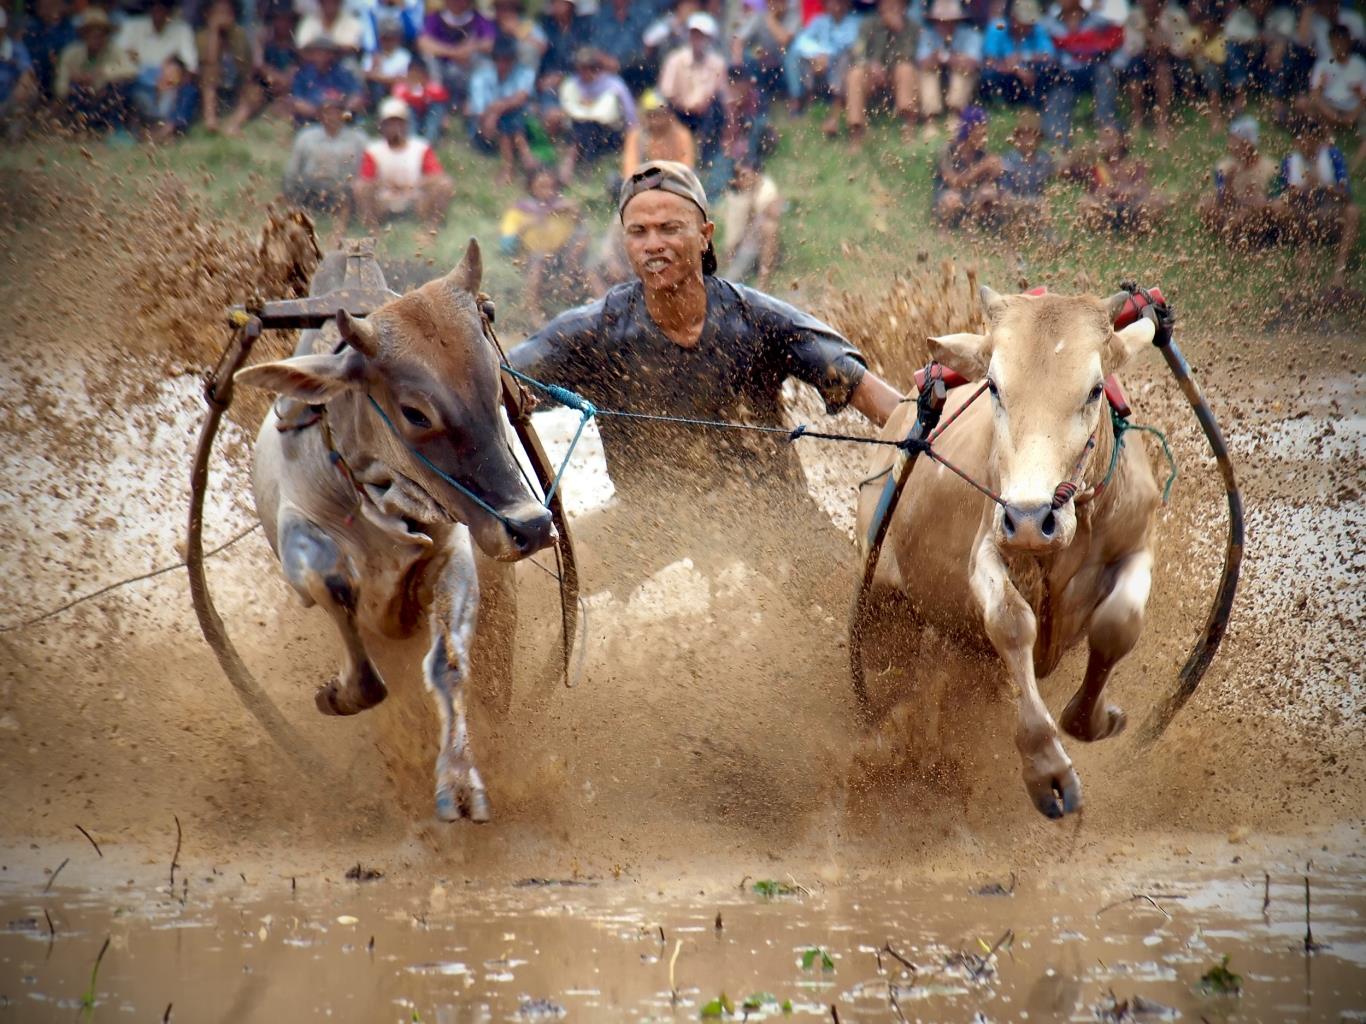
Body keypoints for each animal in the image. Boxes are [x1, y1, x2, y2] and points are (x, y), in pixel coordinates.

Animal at [236, 243, 554, 824]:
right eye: (415, 413)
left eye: (495, 388)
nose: (532, 526)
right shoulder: (299, 546)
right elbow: (344, 609)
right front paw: (336, 694)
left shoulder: (453, 556)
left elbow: (449, 665)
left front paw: (459, 783)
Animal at [857, 286, 1158, 819]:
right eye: (994, 387)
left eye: (1095, 389)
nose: (1032, 520)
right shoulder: (988, 545)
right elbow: (1012, 622)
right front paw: (1047, 768)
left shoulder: (1139, 542)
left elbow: (1118, 623)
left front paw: (1095, 718)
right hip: (883, 608)